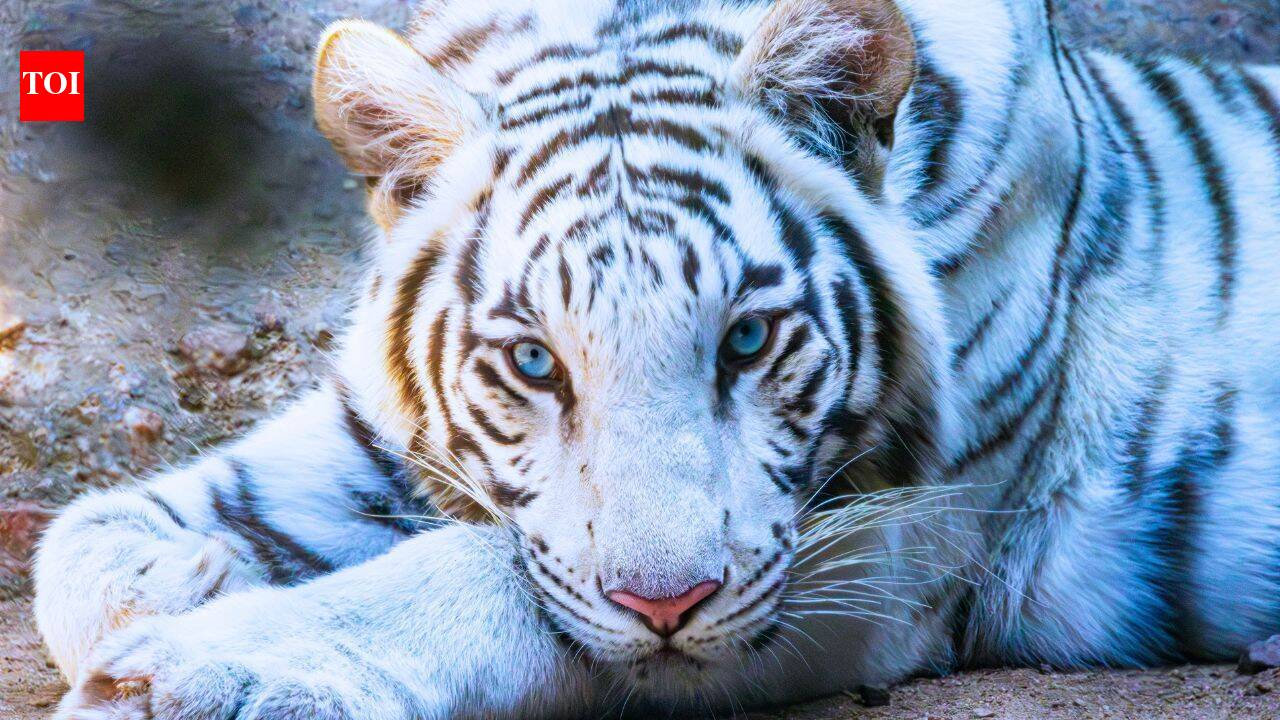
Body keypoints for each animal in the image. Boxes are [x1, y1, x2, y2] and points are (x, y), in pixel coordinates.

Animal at [35, 0, 1280, 717]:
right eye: (533, 363)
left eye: (745, 339)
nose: (666, 604)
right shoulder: (375, 427)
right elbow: (84, 539)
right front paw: (184, 580)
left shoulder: (890, 547)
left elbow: (500, 576)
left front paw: (201, 670)